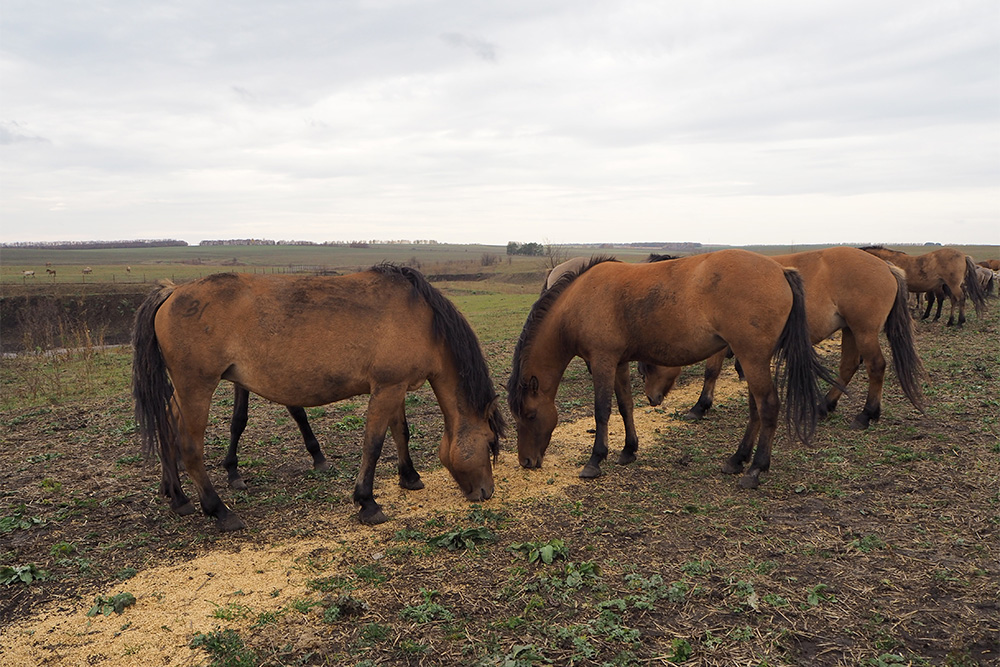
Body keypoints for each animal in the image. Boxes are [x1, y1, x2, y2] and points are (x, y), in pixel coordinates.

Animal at [133, 264, 504, 528]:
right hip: (196, 388)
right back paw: (219, 511)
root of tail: (173, 292)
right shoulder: (385, 389)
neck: (422, 318)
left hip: (184, 393)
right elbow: (373, 443)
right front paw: (367, 502)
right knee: (189, 447)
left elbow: (401, 432)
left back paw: (178, 497)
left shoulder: (395, 388)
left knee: (167, 427)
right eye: (489, 442)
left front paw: (409, 477)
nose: (486, 492)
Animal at [508, 250, 836, 490]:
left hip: (752, 358)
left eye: (530, 415)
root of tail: (781, 271)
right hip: (753, 360)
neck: (578, 301)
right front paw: (628, 450)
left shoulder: (602, 361)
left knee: (767, 407)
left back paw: (755, 469)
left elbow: (602, 411)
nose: (526, 461)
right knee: (756, 409)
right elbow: (625, 405)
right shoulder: (619, 362)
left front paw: (595, 460)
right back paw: (737, 459)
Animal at [636, 248, 924, 430]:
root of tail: (885, 266)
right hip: (851, 330)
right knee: (849, 365)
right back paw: (825, 405)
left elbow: (711, 371)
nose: (642, 373)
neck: (699, 284)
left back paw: (866, 414)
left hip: (863, 331)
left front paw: (700, 406)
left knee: (876, 366)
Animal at [856, 247, 988, 328]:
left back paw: (960, 322)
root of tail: (964, 256)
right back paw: (949, 321)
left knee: (960, 299)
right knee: (953, 300)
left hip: (953, 285)